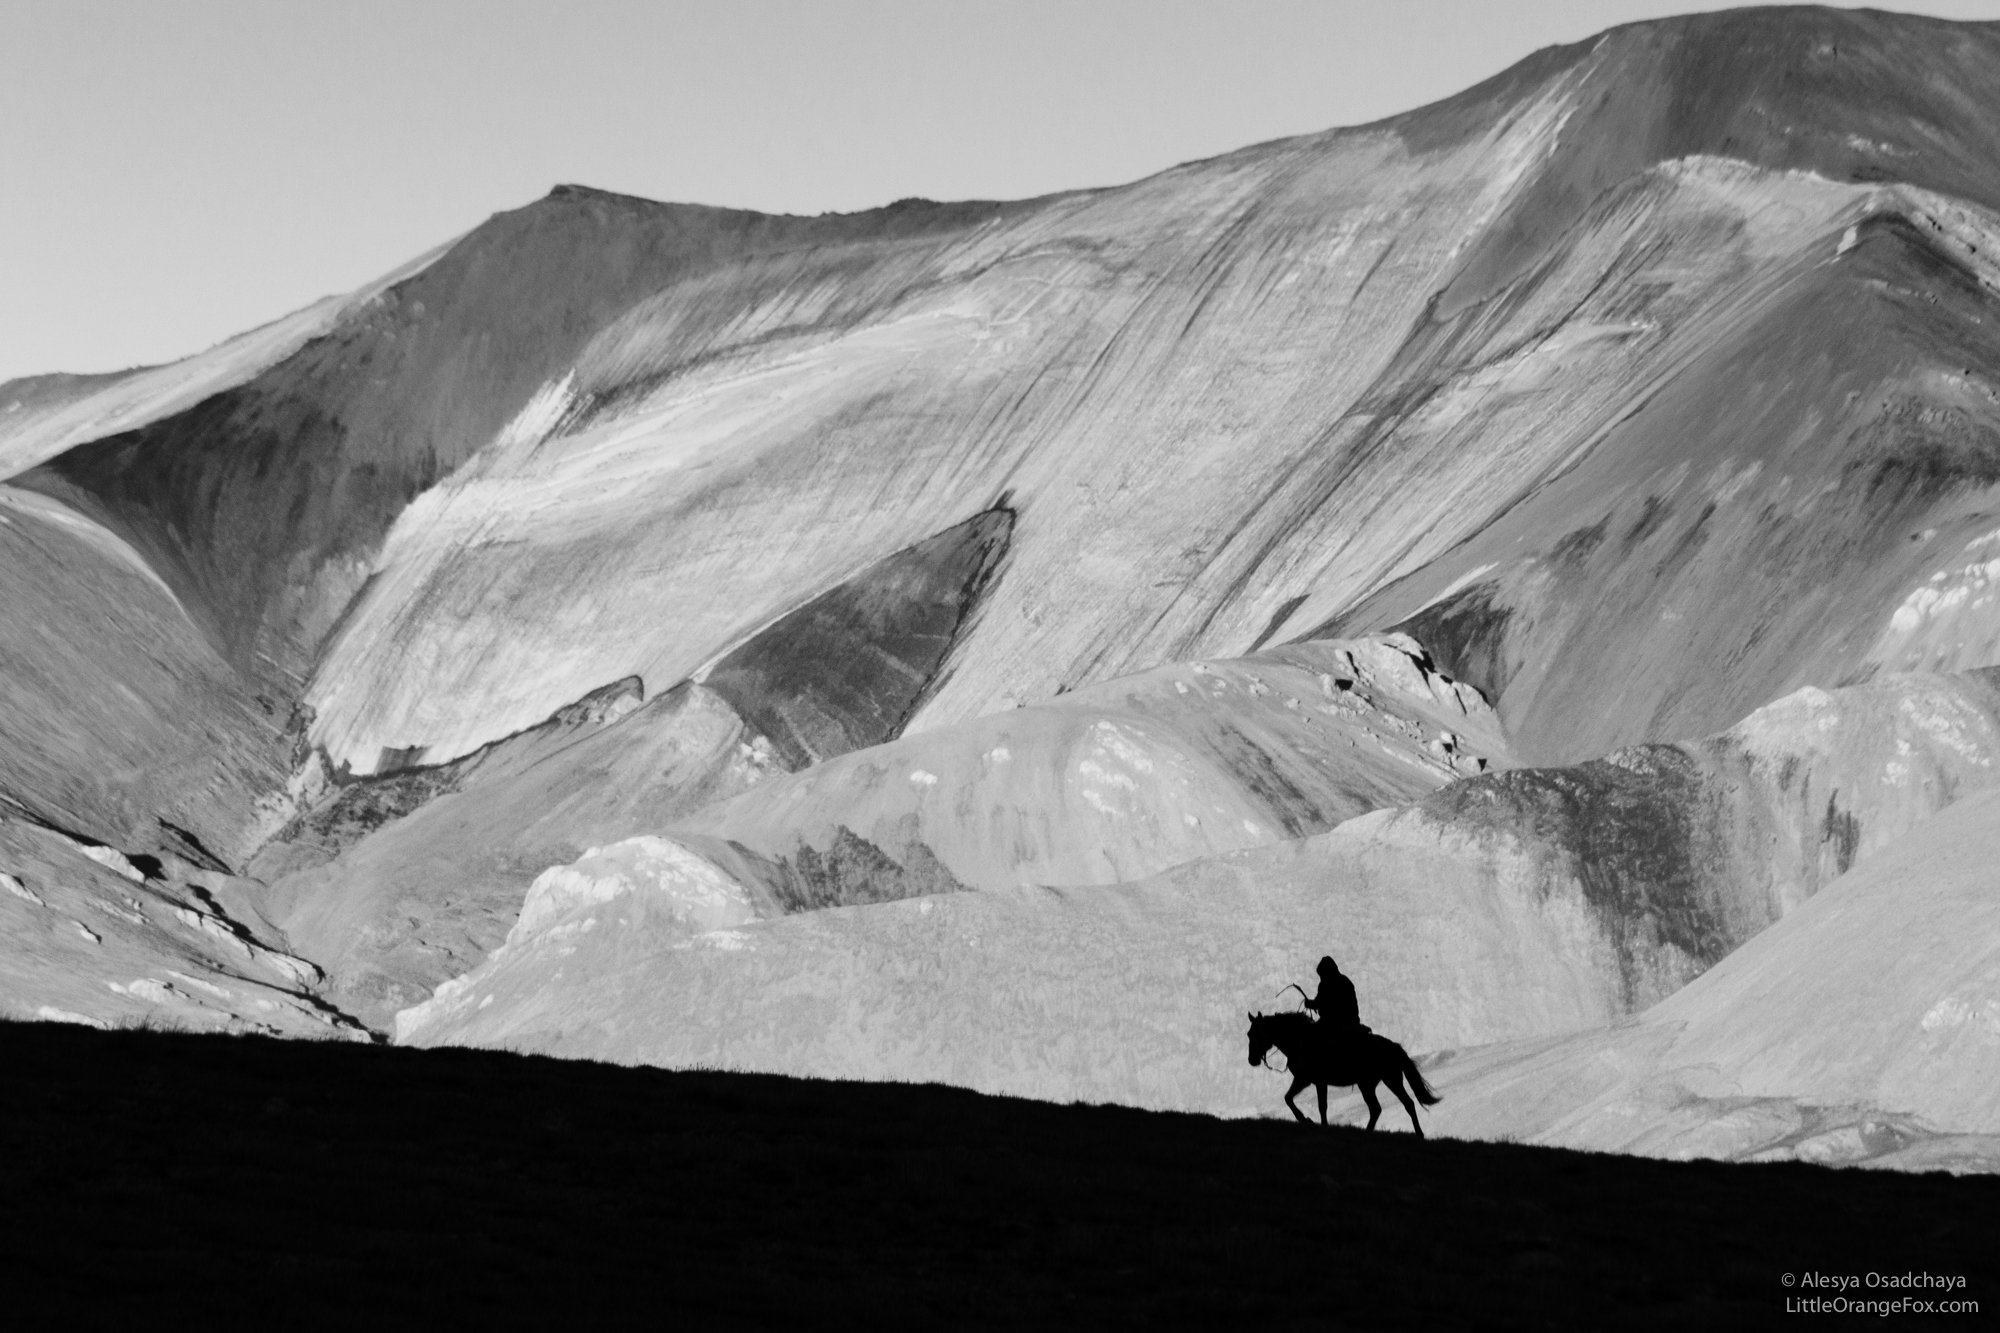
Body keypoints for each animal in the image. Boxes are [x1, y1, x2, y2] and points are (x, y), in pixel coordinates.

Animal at [1248, 1008, 1440, 1128]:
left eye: (1255, 1034)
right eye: (1249, 1034)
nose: (1252, 1060)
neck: (1300, 1041)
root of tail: (1394, 1047)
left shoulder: (1312, 1081)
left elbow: (1318, 1105)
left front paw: (1309, 1120)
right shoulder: (1307, 1081)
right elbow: (1290, 1098)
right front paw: (1307, 1119)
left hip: (1383, 1081)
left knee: (1393, 1106)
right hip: (1378, 1083)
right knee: (1391, 1107)